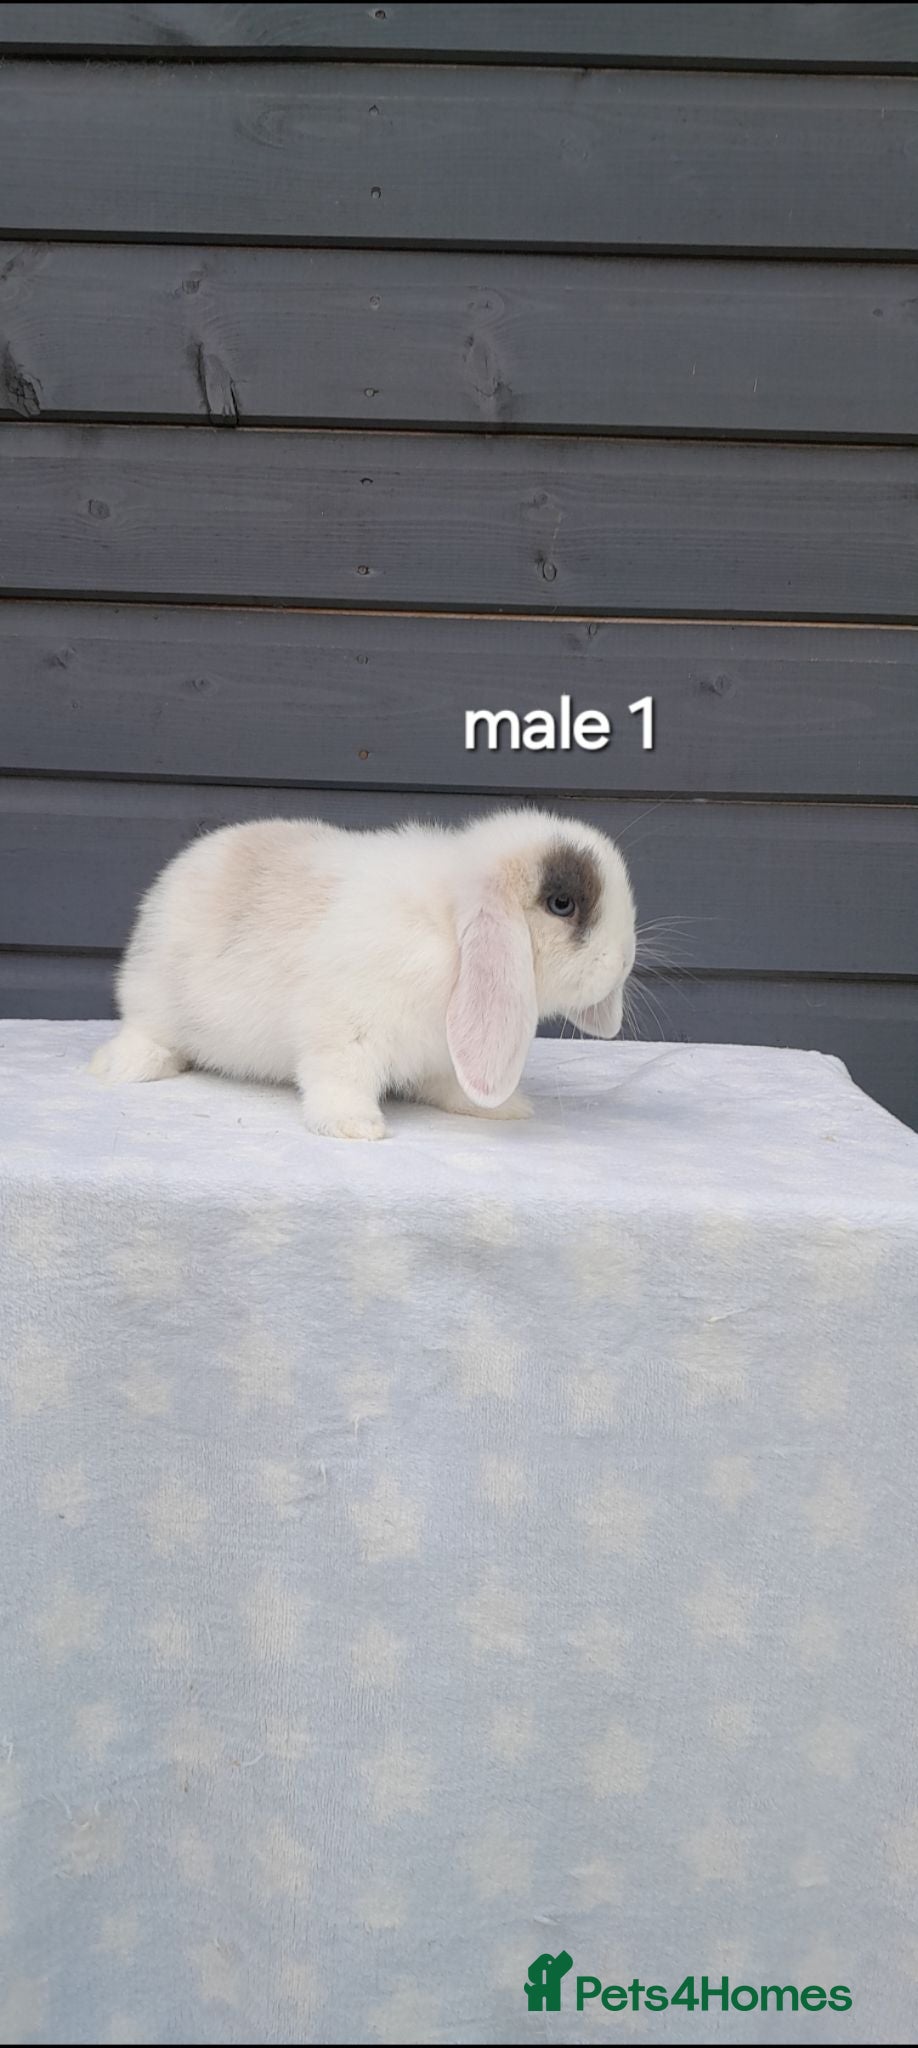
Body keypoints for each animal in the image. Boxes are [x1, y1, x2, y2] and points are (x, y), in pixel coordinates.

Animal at [90, 807, 636, 1140]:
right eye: (561, 904)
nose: (625, 959)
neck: (449, 932)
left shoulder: (445, 1055)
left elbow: (452, 1086)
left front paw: (499, 1109)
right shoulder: (344, 1032)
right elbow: (340, 1079)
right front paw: (356, 1128)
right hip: (154, 997)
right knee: (144, 1032)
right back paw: (126, 1066)